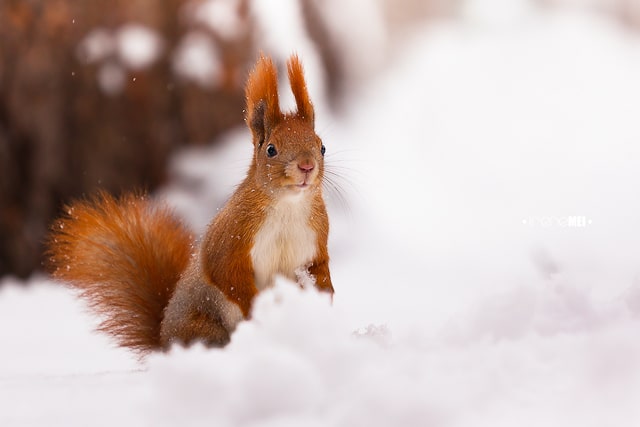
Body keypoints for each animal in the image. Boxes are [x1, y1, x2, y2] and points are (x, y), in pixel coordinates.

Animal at [46, 53, 336, 354]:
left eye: (322, 146)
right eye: (271, 149)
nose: (306, 166)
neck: (288, 205)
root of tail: (165, 344)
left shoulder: (316, 238)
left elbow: (320, 268)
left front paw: (324, 297)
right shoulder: (232, 236)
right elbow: (226, 273)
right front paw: (256, 307)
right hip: (204, 328)